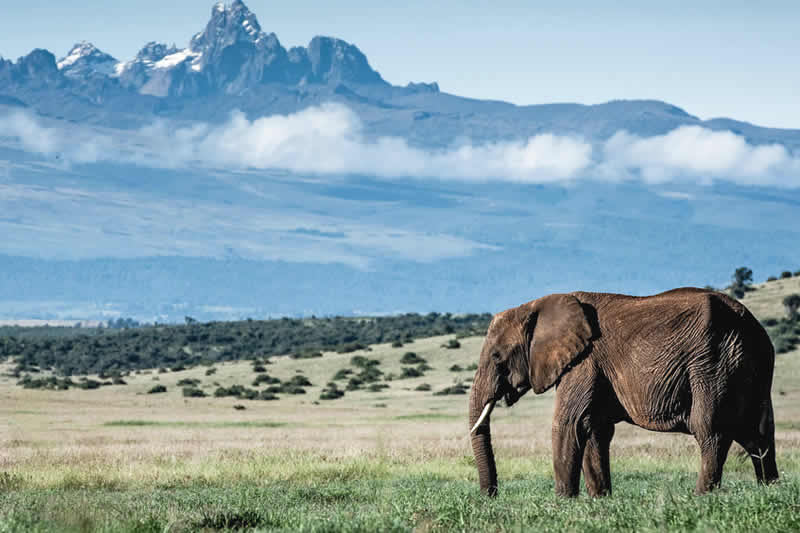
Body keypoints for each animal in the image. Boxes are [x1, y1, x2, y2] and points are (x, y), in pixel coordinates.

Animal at [472, 284, 780, 496]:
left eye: (497, 357)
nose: (491, 496)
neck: (539, 305)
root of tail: (748, 322)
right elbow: (594, 429)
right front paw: (600, 500)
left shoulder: (585, 361)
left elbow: (570, 423)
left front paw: (563, 503)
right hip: (747, 364)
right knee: (758, 434)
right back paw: (769, 491)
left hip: (712, 363)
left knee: (711, 430)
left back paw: (702, 497)